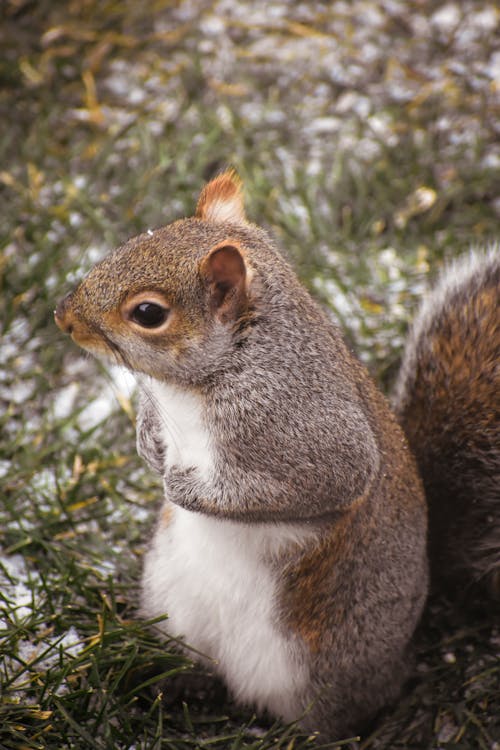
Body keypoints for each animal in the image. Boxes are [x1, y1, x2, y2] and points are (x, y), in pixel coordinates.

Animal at [52, 173, 498, 744]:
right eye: (127, 245)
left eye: (148, 313)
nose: (63, 317)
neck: (201, 382)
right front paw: (149, 444)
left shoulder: (309, 432)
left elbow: (316, 484)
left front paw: (184, 489)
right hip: (170, 605)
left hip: (315, 675)